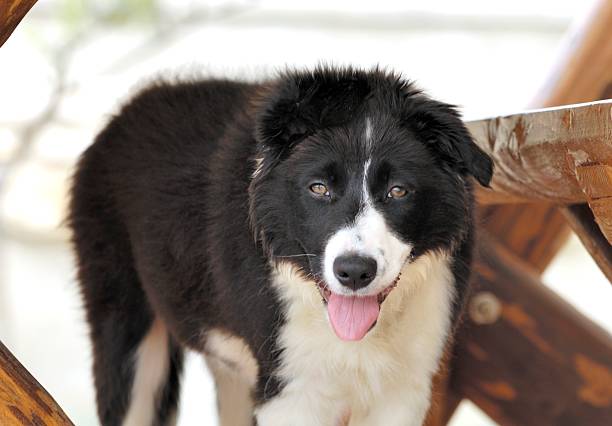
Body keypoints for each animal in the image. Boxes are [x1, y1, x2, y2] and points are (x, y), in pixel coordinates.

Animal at [69, 67, 492, 426]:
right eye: (318, 188)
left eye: (398, 191)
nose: (354, 272)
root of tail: (130, 106)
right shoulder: (292, 388)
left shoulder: (404, 388)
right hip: (126, 325)